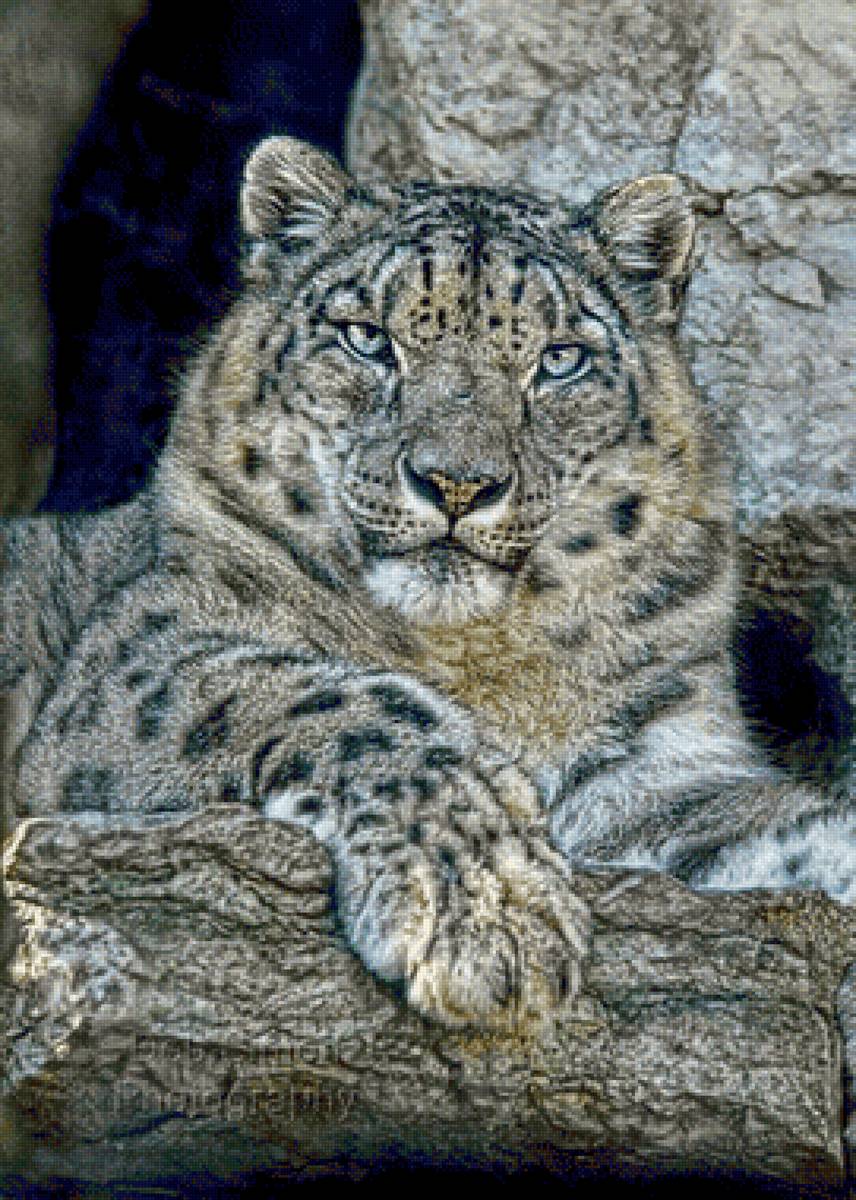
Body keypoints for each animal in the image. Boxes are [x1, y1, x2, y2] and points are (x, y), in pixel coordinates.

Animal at [1, 135, 852, 1035]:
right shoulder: (144, 659)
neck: (479, 657)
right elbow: (347, 699)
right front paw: (488, 911)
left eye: (560, 360)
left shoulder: (656, 774)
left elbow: (800, 834)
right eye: (368, 339)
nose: (458, 483)